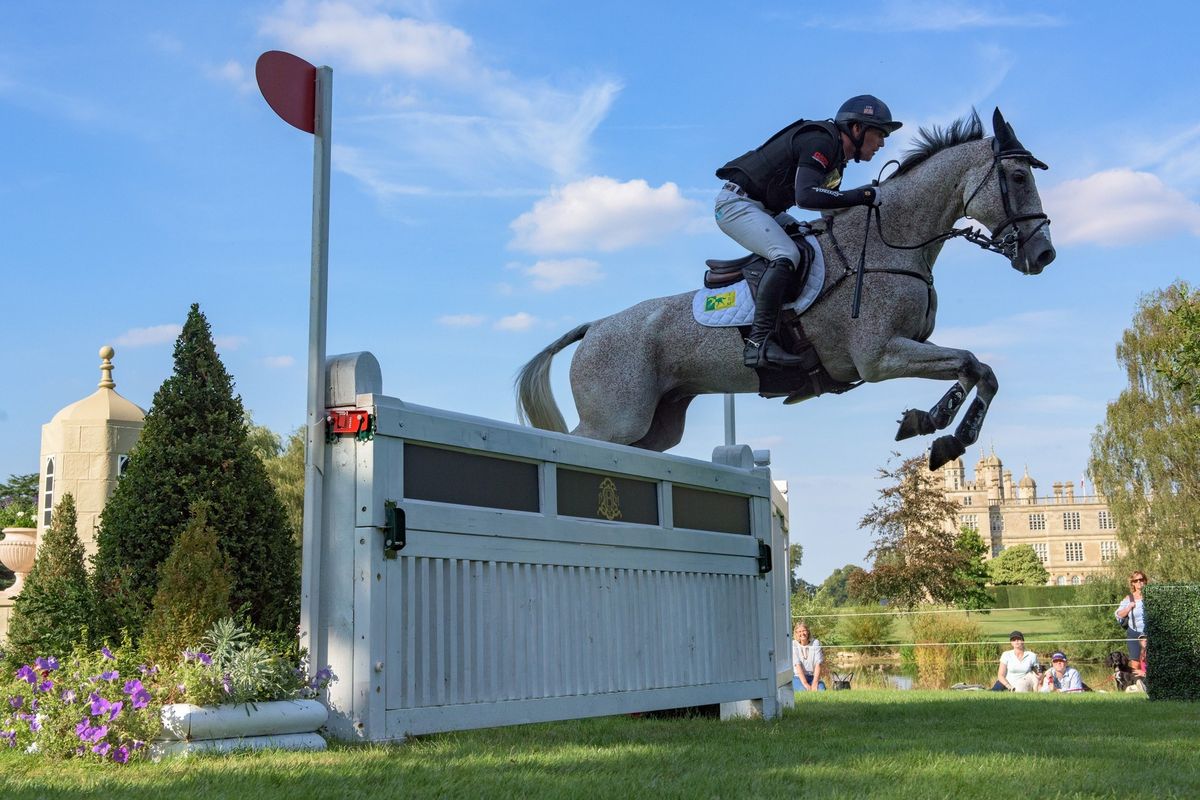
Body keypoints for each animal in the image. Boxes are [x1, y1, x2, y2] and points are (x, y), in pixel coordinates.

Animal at [513, 106, 1051, 470]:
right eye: (1017, 177)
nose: (1043, 255)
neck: (891, 241)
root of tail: (595, 327)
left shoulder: (907, 347)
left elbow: (979, 370)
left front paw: (937, 430)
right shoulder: (879, 356)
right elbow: (969, 363)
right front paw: (934, 425)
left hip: (653, 426)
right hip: (614, 419)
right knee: (575, 440)